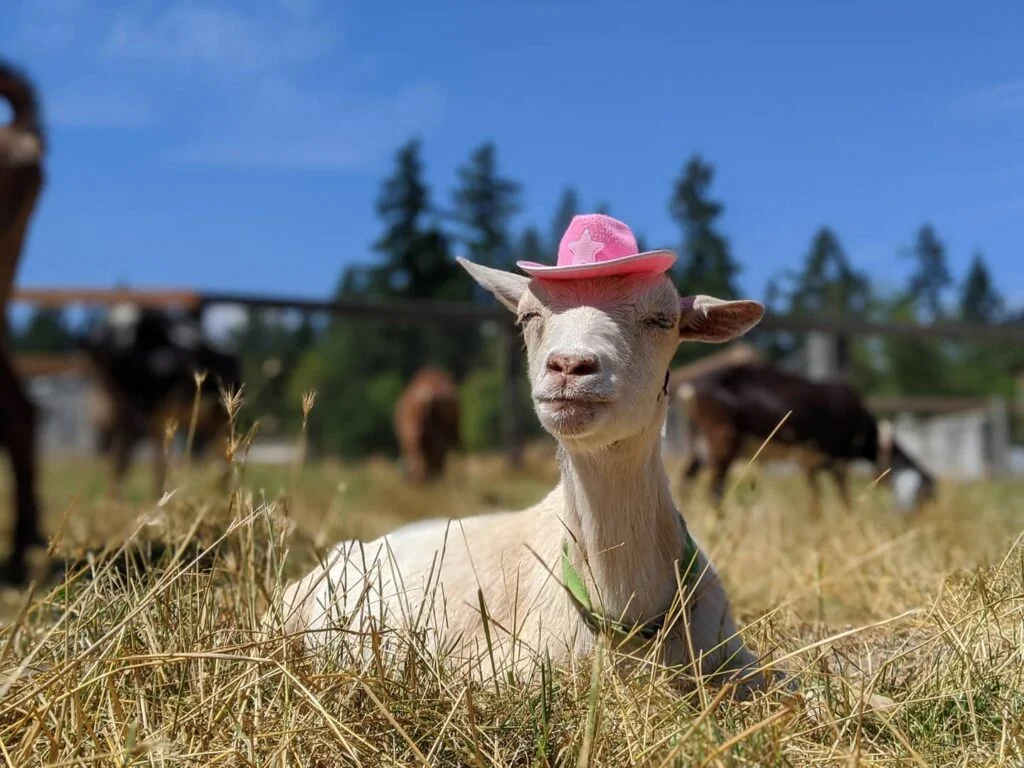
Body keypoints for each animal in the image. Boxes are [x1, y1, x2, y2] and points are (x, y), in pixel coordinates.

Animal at [677, 361, 937, 516]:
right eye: (924, 495)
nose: (913, 518)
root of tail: (692, 388)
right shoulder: (836, 459)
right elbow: (843, 496)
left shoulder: (810, 461)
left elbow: (815, 498)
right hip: (723, 438)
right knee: (714, 488)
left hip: (698, 442)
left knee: (686, 478)